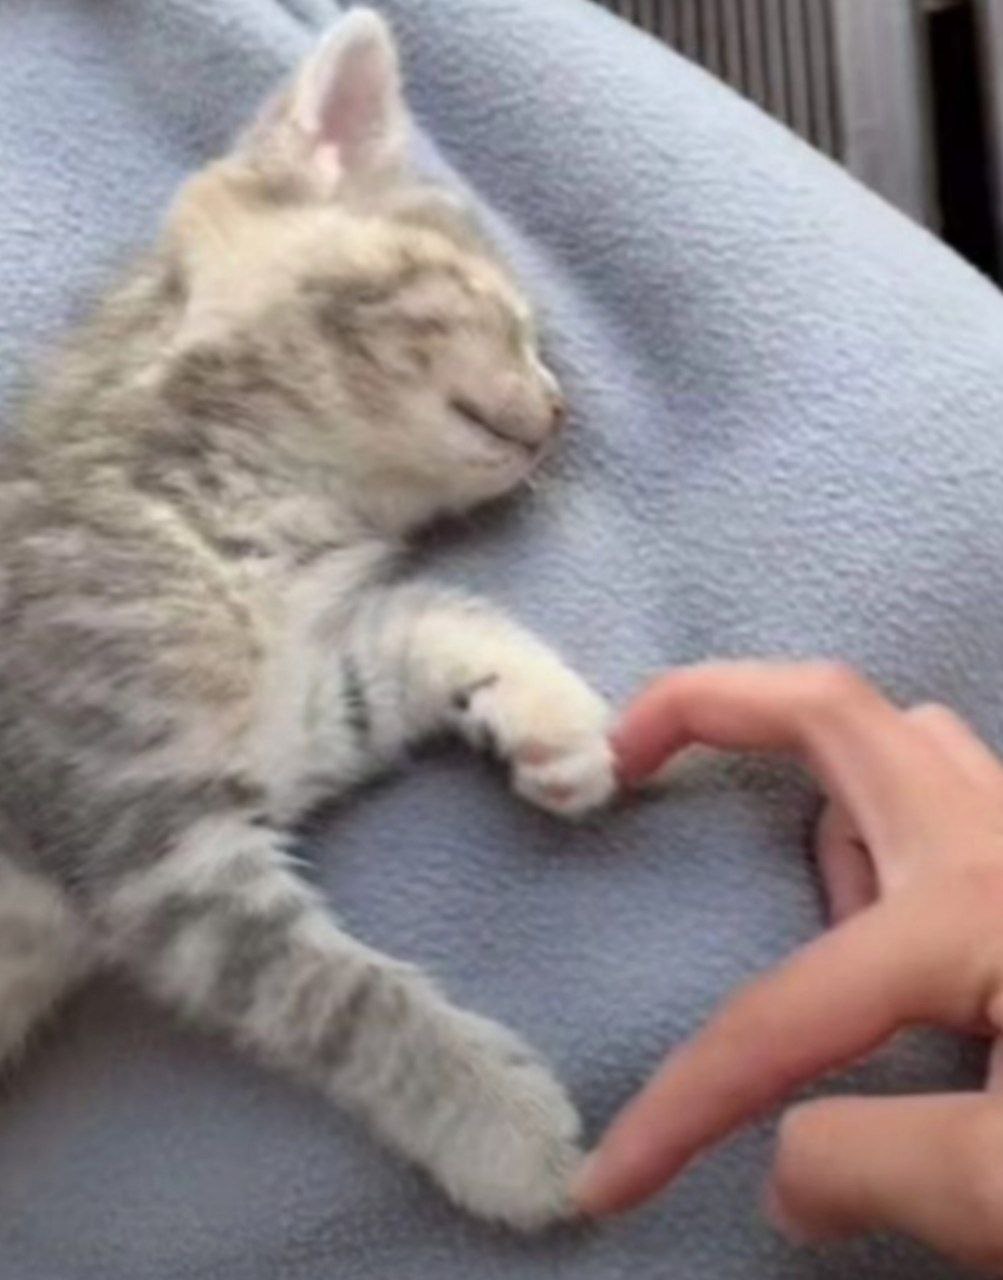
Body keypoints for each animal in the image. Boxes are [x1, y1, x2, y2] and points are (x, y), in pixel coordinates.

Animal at [0, 9, 619, 1229]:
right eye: (505, 314)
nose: (565, 408)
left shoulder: (287, 722)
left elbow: (420, 624)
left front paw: (550, 714)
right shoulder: (144, 835)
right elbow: (335, 996)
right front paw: (499, 1126)